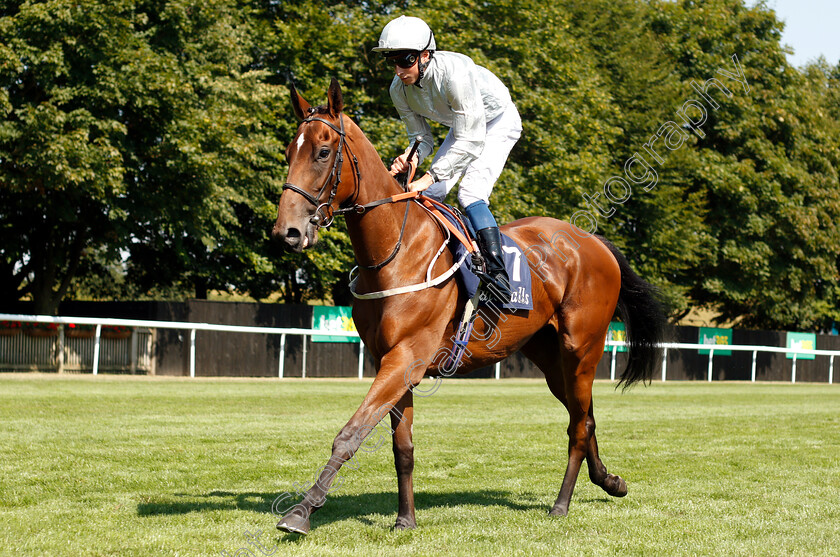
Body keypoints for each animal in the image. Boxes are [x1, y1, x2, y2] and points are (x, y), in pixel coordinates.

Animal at [272, 78, 668, 536]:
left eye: (322, 151)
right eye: (289, 153)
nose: (287, 232)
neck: (394, 254)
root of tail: (594, 241)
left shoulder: (406, 357)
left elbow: (351, 433)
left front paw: (302, 511)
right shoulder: (390, 361)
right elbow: (402, 446)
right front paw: (405, 519)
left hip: (581, 347)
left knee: (578, 426)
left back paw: (561, 503)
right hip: (550, 356)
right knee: (584, 417)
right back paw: (609, 481)